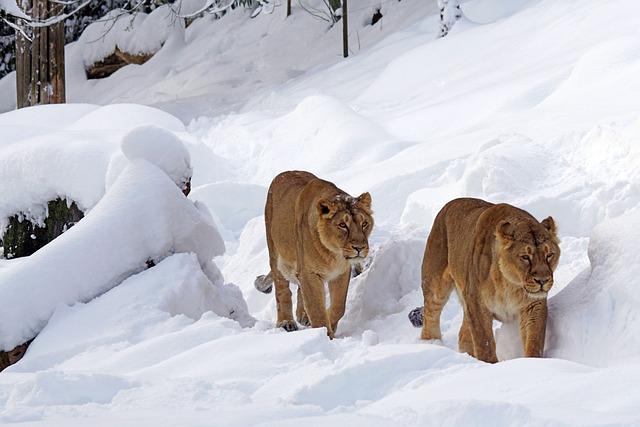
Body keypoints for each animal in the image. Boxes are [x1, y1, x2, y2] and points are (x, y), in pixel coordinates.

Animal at [255, 171, 376, 338]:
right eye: (342, 225)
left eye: (364, 224)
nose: (359, 247)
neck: (333, 254)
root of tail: (283, 174)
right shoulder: (309, 273)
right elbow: (316, 309)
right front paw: (324, 335)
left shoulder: (340, 273)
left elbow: (339, 307)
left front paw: (329, 323)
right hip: (276, 255)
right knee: (282, 290)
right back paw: (286, 322)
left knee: (299, 290)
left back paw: (303, 316)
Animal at [410, 199, 560, 362]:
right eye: (525, 257)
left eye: (549, 255)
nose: (542, 280)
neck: (510, 284)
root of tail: (450, 203)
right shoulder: (477, 303)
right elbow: (484, 343)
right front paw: (490, 365)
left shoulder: (533, 305)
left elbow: (534, 340)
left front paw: (533, 362)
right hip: (435, 284)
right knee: (430, 317)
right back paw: (432, 345)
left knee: (463, 334)